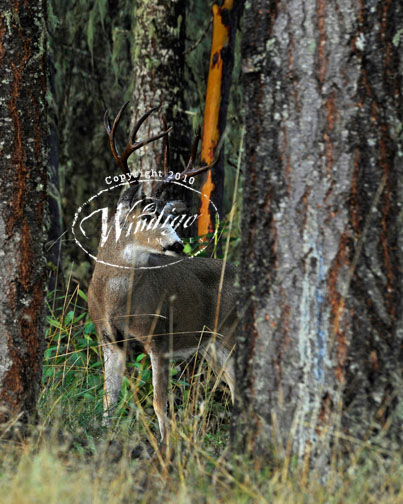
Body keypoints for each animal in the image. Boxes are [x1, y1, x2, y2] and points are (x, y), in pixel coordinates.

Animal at [87, 103, 237, 444]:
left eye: (170, 217)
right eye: (146, 216)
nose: (178, 244)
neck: (116, 300)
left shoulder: (159, 337)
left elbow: (159, 403)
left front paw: (166, 447)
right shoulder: (109, 339)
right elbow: (108, 398)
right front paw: (103, 441)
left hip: (231, 333)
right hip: (213, 345)